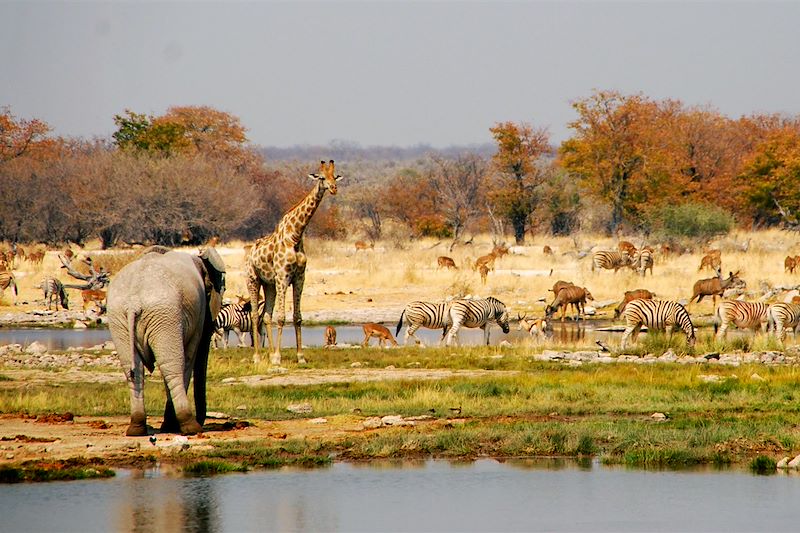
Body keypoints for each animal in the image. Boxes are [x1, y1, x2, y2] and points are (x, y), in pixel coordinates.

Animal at [106, 246, 225, 436]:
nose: (202, 420)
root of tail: (134, 302)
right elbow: (189, 358)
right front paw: (171, 426)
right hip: (164, 313)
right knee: (173, 366)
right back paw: (190, 427)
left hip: (119, 318)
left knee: (133, 369)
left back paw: (136, 429)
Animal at [247, 160, 340, 364]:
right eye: (322, 178)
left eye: (335, 177)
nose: (334, 188)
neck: (295, 235)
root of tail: (250, 251)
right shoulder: (283, 276)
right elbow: (282, 317)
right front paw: (278, 357)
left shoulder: (299, 278)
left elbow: (297, 317)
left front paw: (299, 356)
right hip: (253, 280)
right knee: (255, 314)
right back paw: (257, 356)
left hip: (269, 284)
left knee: (266, 315)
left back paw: (269, 353)